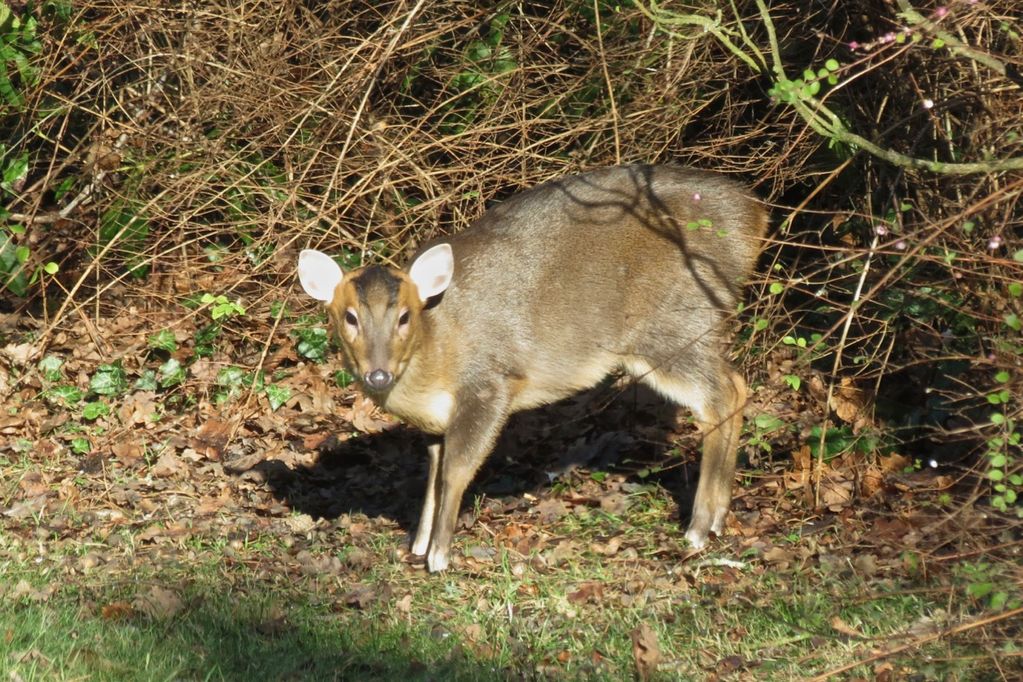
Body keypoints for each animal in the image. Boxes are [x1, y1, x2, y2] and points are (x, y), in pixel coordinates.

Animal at [298, 163, 765, 572]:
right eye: (350, 317)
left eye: (404, 317)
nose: (378, 374)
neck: (435, 349)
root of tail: (755, 216)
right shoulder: (435, 420)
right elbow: (432, 473)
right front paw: (417, 544)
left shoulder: (491, 381)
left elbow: (457, 469)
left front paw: (439, 556)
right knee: (735, 387)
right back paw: (716, 520)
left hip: (672, 323)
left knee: (724, 392)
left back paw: (698, 528)